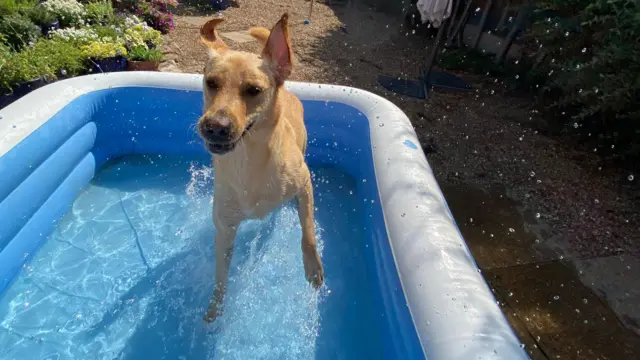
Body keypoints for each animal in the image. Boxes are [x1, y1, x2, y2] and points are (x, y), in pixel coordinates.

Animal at [195, 14, 324, 324]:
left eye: (253, 90)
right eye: (211, 82)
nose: (214, 127)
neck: (249, 161)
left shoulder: (305, 183)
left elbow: (308, 231)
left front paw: (312, 266)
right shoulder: (225, 229)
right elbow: (220, 276)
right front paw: (215, 307)